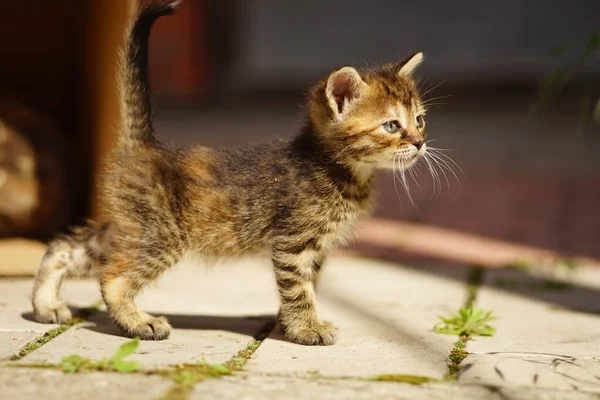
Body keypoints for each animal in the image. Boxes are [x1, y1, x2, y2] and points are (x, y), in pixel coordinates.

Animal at [32, 0, 428, 346]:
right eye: (392, 125)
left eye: (420, 120)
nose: (421, 142)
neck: (338, 170)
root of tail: (144, 144)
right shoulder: (293, 242)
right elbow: (298, 288)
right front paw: (306, 329)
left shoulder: (316, 248)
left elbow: (308, 285)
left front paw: (289, 323)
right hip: (161, 235)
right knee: (112, 277)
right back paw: (140, 323)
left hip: (130, 228)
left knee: (65, 247)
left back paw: (45, 304)